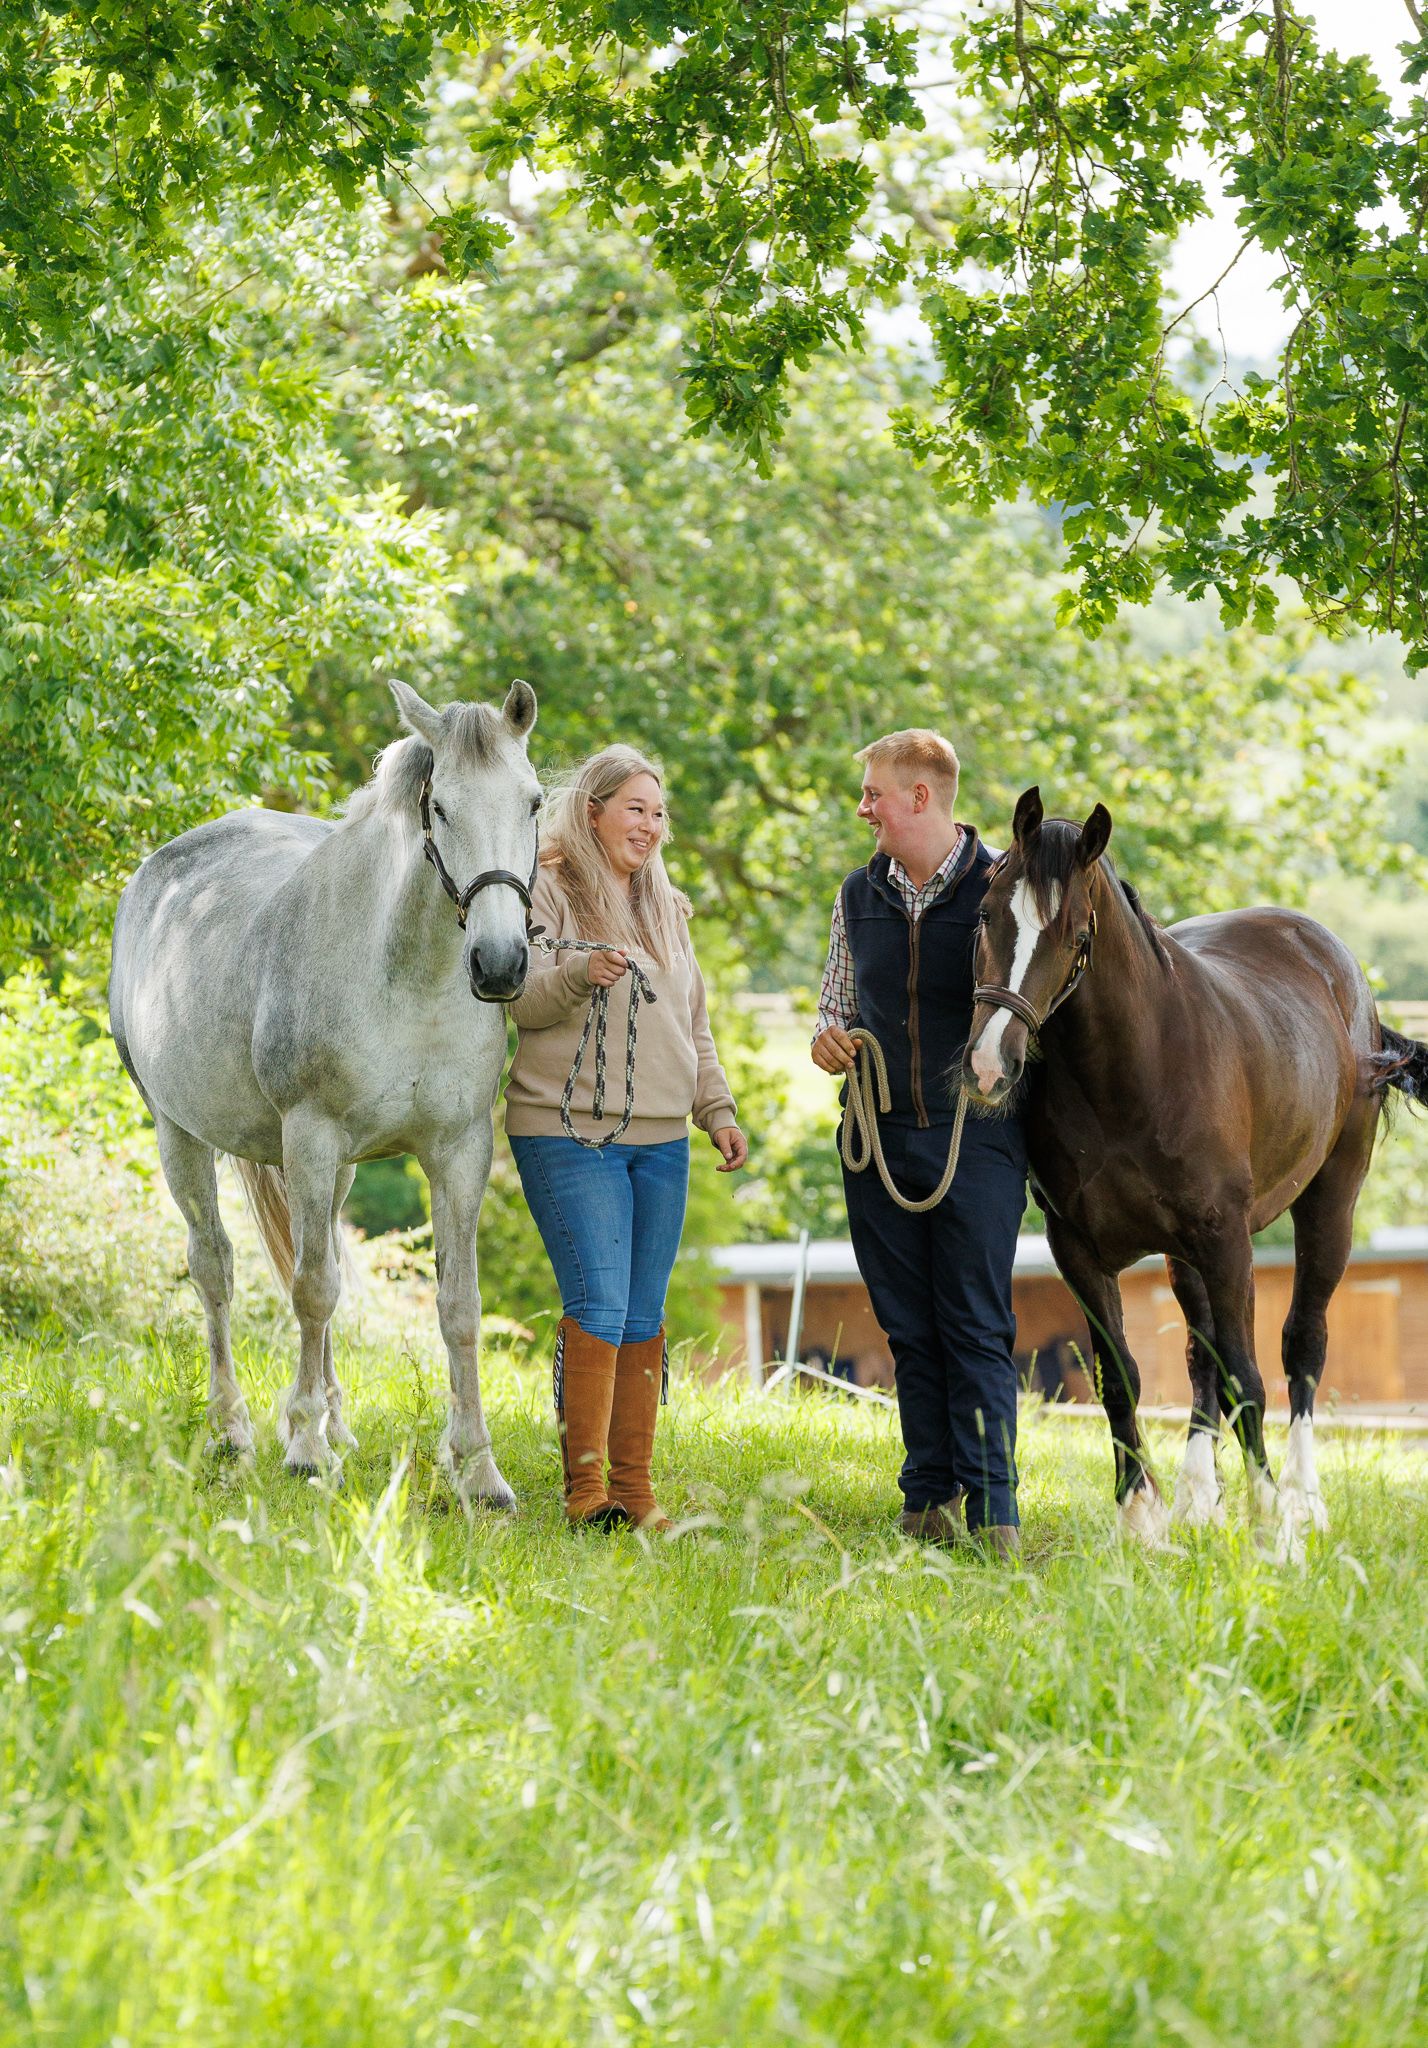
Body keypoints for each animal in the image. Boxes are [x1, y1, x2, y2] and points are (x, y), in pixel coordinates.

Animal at [108, 679, 542, 1507]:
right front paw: (303, 1450)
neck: (405, 976)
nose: (501, 964)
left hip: (333, 1173)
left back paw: (337, 1426)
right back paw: (235, 1430)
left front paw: (479, 1471)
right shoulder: (308, 1139)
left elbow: (458, 1306)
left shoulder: (458, 1150)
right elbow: (311, 1290)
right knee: (215, 1269)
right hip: (181, 1135)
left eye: (534, 802)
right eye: (442, 809)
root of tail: (157, 873)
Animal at [962, 787, 1428, 1559]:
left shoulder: (1226, 1240)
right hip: (1184, 1258)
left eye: (1076, 934)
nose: (988, 1068)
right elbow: (1122, 1376)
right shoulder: (1077, 1249)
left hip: (1329, 1203)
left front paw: (1272, 1524)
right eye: (986, 912)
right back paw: (1197, 1499)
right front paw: (1140, 1516)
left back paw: (1303, 1501)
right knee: (1199, 1355)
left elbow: (1249, 1375)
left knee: (1302, 1342)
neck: (1131, 1073)